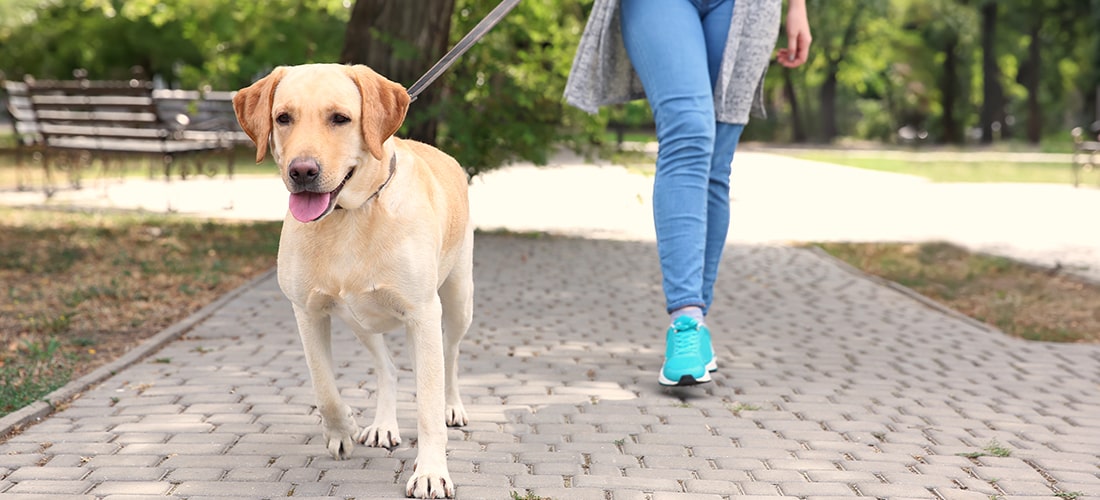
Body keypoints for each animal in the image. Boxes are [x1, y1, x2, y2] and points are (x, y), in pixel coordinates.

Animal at [232, 64, 473, 498]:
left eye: (340, 118)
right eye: (283, 118)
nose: (302, 171)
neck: (350, 216)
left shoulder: (423, 313)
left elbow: (428, 405)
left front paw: (431, 471)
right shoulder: (307, 312)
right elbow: (323, 386)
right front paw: (342, 427)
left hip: (458, 302)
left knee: (450, 357)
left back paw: (452, 406)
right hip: (359, 320)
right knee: (388, 367)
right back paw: (382, 424)